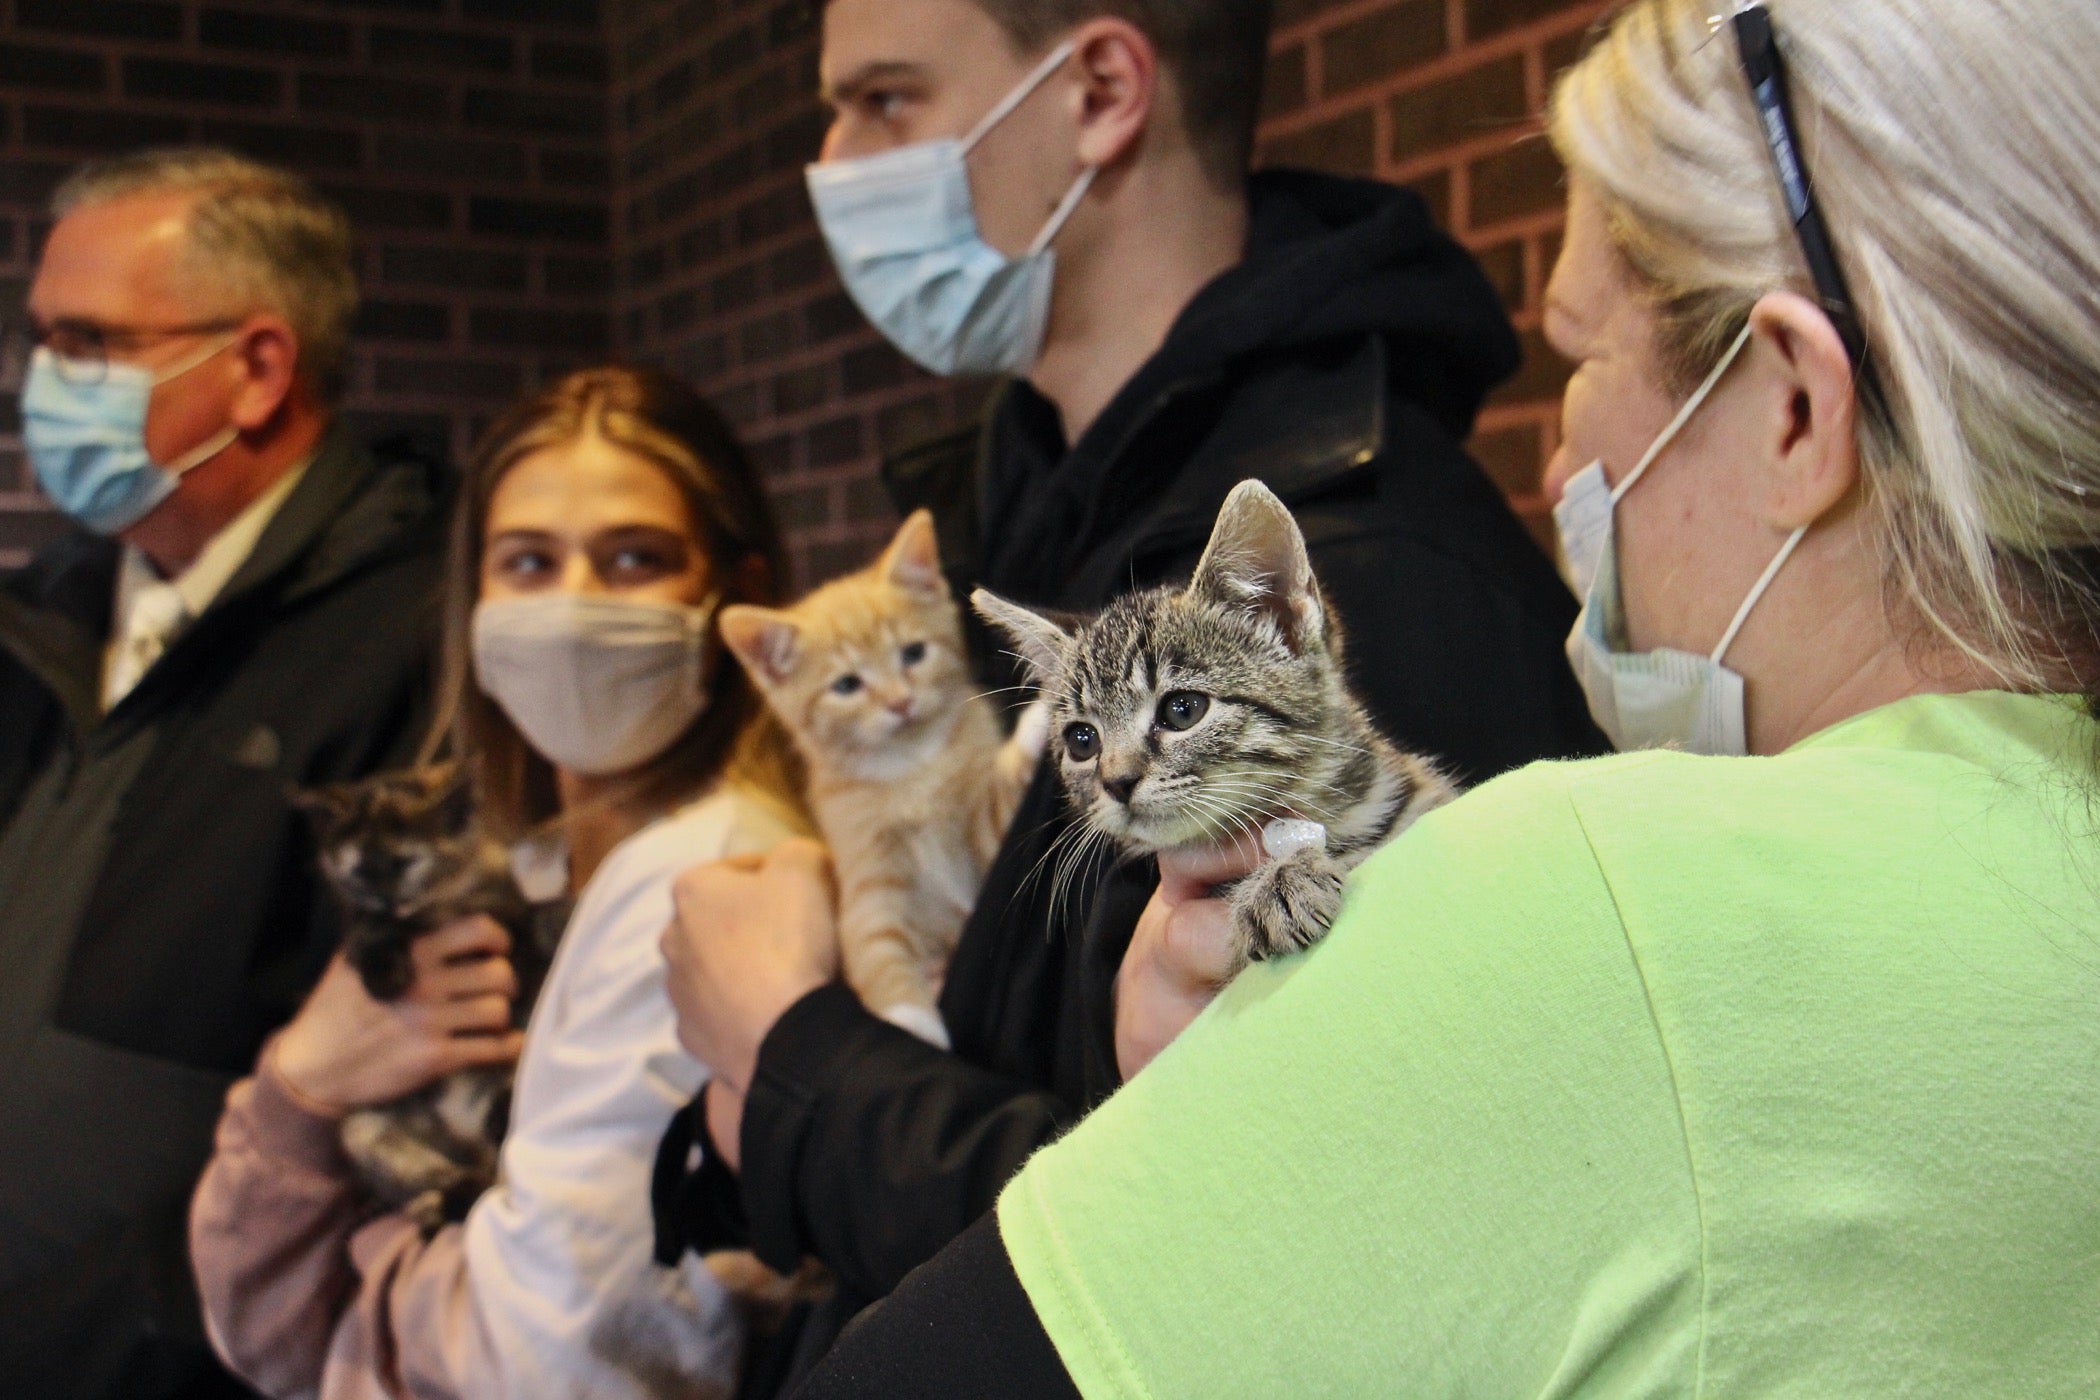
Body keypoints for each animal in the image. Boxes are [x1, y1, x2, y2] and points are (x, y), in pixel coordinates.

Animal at [298, 768, 546, 1234]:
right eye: (360, 870)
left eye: (403, 862)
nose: (389, 900)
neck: (436, 909)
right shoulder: (360, 922)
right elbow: (369, 930)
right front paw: (385, 973)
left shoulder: (506, 916)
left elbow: (524, 934)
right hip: (365, 1130)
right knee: (450, 1181)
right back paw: (435, 1203)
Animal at [722, 510, 1050, 1045]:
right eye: (847, 685)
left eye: (913, 653)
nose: (899, 702)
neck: (909, 771)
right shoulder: (866, 890)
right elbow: (876, 949)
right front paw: (913, 1023)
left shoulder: (983, 844)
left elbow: (999, 802)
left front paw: (1044, 717)